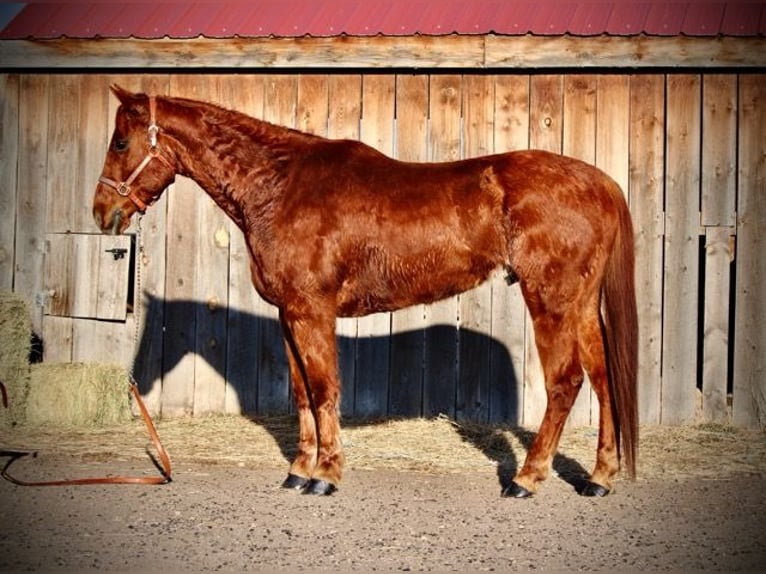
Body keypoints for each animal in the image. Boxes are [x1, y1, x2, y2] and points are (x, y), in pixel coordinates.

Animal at [93, 85, 640, 500]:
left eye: (120, 142)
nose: (102, 213)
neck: (279, 185)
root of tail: (600, 182)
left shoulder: (312, 310)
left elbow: (324, 389)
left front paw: (326, 476)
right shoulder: (290, 314)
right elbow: (302, 393)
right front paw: (299, 472)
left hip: (551, 301)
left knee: (565, 383)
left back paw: (526, 479)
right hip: (582, 305)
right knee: (602, 380)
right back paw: (598, 479)